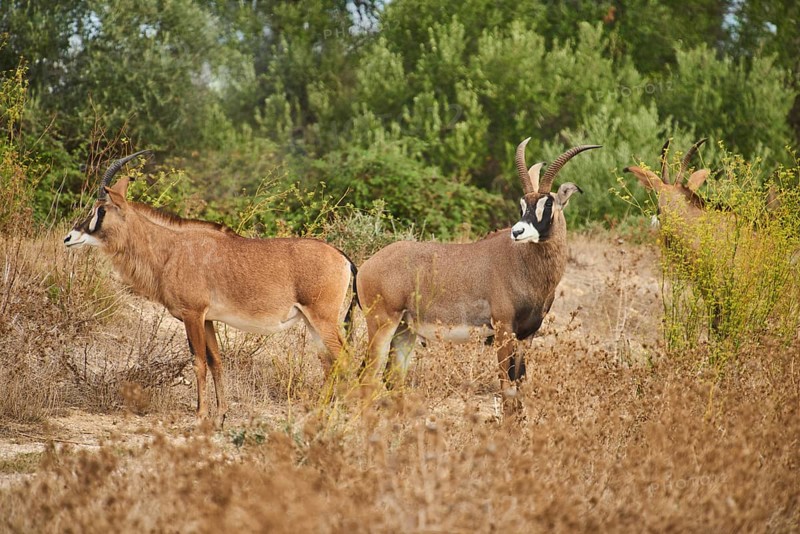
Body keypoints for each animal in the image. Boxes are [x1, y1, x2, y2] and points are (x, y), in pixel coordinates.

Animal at [64, 151, 357, 426]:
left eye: (101, 210)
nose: (69, 237)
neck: (170, 250)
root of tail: (343, 258)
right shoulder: (208, 319)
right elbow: (216, 361)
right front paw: (220, 416)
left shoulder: (192, 314)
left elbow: (199, 362)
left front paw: (200, 415)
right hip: (311, 321)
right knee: (329, 362)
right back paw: (318, 416)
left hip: (322, 318)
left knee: (344, 359)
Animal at [356, 139, 600, 411]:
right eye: (523, 204)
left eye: (547, 203)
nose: (517, 232)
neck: (523, 263)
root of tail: (366, 266)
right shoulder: (503, 330)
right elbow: (507, 389)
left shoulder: (527, 335)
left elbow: (520, 386)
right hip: (382, 323)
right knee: (368, 376)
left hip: (404, 330)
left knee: (393, 378)